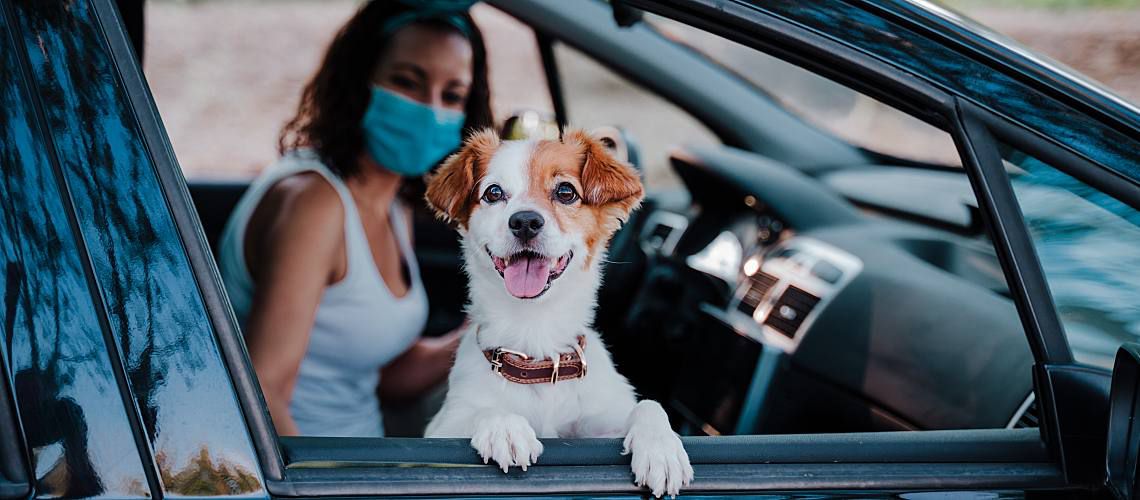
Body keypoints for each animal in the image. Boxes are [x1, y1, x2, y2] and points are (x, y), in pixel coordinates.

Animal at [426, 128, 693, 496]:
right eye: (493, 193)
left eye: (566, 192)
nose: (525, 221)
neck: (535, 340)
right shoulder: (438, 430)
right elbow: (481, 412)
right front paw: (504, 425)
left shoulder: (601, 424)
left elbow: (648, 405)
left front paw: (661, 448)